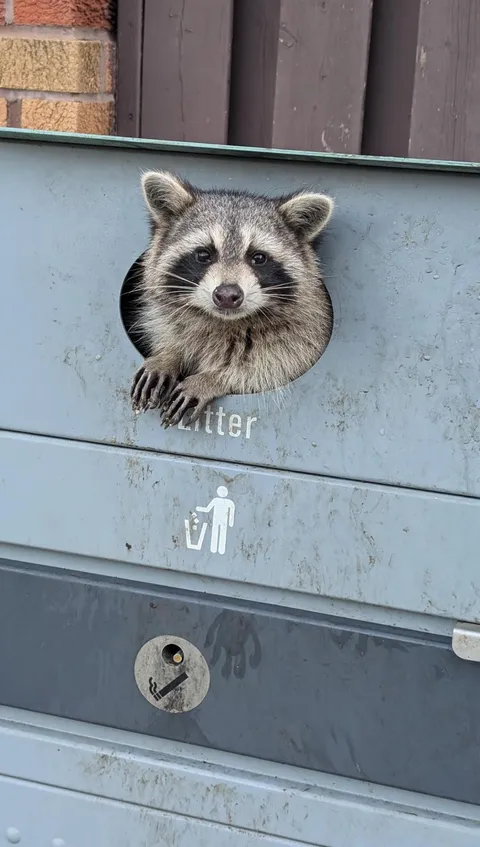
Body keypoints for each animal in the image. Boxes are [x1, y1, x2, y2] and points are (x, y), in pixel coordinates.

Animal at [130, 171, 334, 428]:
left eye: (258, 258)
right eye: (203, 254)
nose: (227, 295)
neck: (223, 321)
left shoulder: (308, 329)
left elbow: (279, 365)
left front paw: (213, 377)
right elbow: (170, 330)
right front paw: (167, 355)